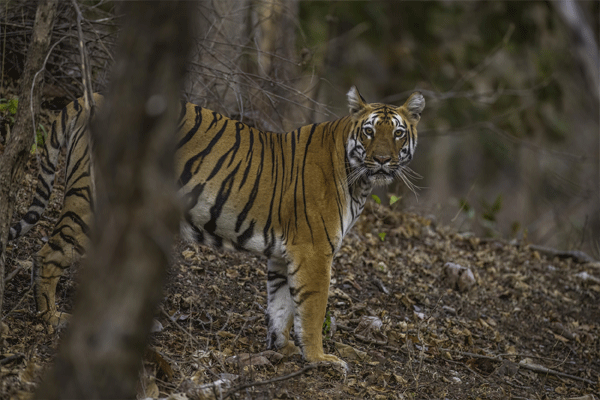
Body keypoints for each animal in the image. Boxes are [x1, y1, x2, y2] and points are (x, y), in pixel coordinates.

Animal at [7, 87, 424, 368]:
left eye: (398, 133)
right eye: (369, 131)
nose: (382, 160)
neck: (360, 180)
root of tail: (92, 95)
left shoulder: (284, 253)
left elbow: (281, 305)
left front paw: (284, 350)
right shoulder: (313, 251)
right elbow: (313, 308)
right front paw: (320, 359)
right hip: (91, 200)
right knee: (47, 254)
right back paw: (51, 319)